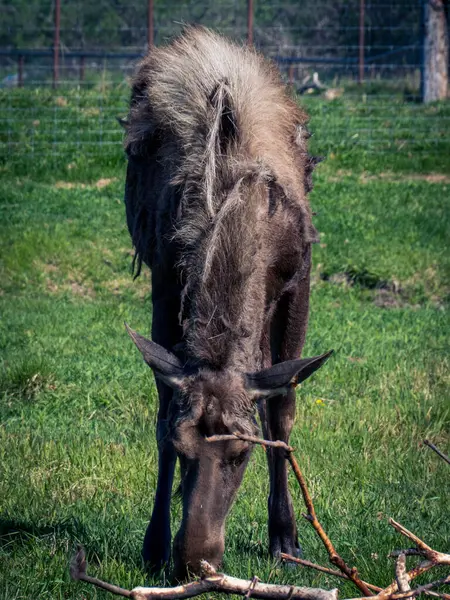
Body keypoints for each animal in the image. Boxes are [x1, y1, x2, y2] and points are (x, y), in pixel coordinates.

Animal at [122, 28, 330, 580]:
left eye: (241, 452)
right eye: (182, 448)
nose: (195, 560)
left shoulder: (298, 281)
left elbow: (282, 408)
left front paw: (286, 537)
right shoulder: (166, 278)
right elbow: (162, 406)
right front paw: (154, 543)